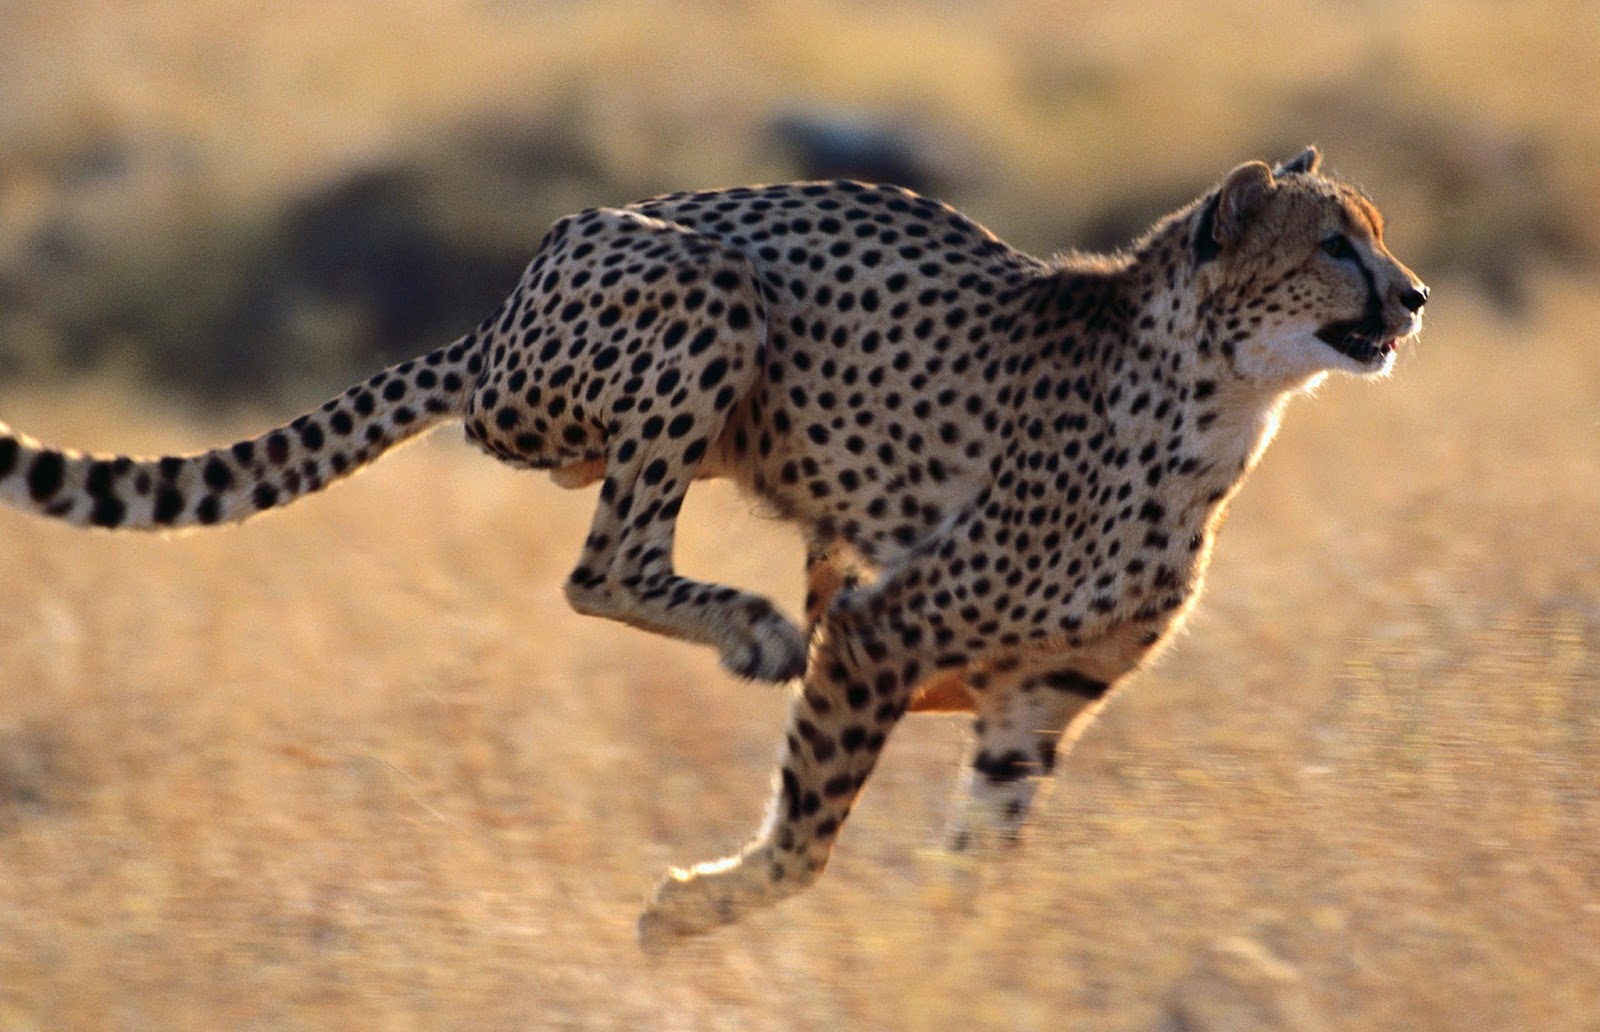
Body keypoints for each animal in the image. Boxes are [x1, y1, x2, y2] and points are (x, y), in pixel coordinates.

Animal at [0, 145, 1427, 950]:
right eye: (1333, 243)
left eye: (1375, 231)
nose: (1411, 296)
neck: (1216, 402)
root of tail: (502, 310)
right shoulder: (888, 631)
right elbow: (807, 836)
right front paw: (691, 910)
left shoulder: (1039, 698)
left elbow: (979, 857)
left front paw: (960, 956)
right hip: (699, 295)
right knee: (601, 564)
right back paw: (748, 629)